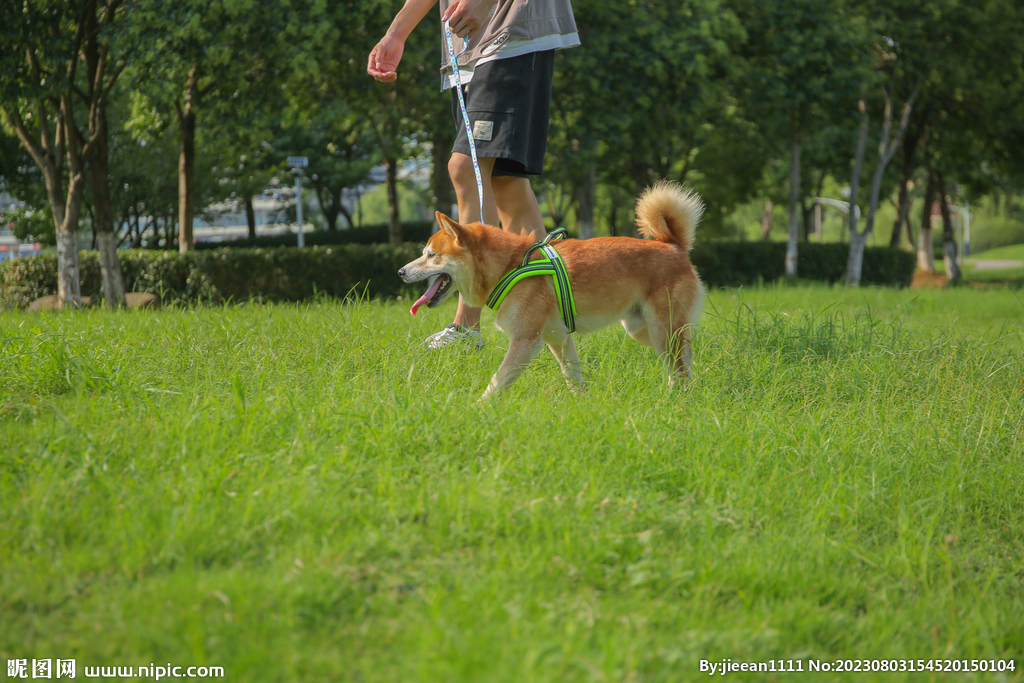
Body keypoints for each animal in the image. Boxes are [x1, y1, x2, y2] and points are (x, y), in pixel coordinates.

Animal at [397, 180, 704, 401]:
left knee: (680, 367)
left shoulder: (525, 341)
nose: (400, 272)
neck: (509, 266)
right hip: (642, 329)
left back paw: (677, 399)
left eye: (431, 255)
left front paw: (478, 409)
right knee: (686, 358)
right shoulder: (559, 339)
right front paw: (582, 406)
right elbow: (573, 377)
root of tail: (673, 245)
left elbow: (497, 382)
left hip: (661, 330)